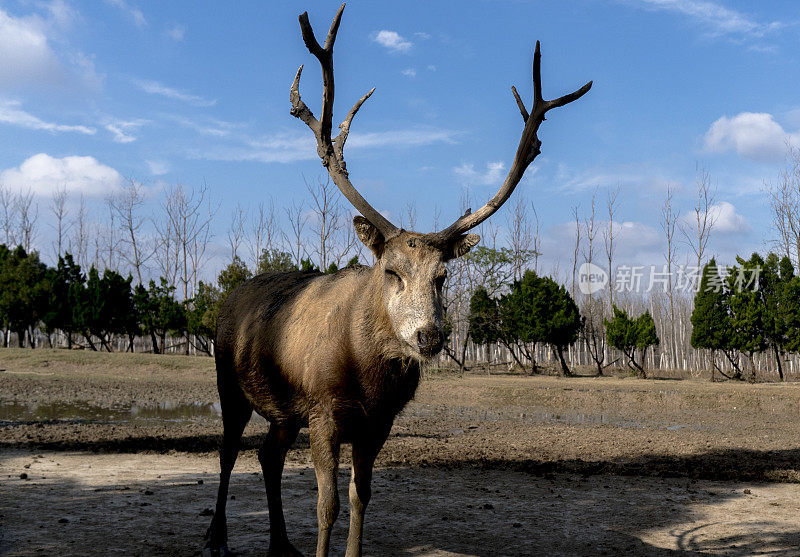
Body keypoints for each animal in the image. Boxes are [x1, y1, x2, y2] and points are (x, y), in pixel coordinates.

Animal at [203, 4, 592, 556]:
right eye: (391, 271)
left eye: (444, 276)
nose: (429, 335)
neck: (365, 373)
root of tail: (228, 297)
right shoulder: (322, 410)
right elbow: (326, 506)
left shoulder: (377, 423)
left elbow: (361, 499)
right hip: (229, 382)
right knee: (228, 452)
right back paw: (217, 536)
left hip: (282, 411)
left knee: (267, 456)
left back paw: (281, 543)